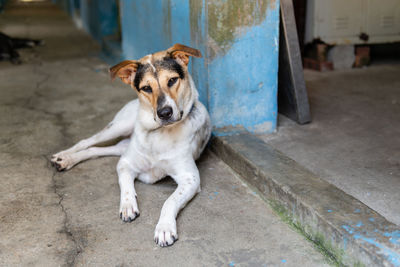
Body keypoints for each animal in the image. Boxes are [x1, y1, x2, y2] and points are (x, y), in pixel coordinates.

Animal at [51, 43, 211, 247]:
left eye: (173, 80)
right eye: (146, 88)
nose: (164, 113)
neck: (157, 134)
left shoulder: (190, 178)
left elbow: (170, 201)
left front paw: (164, 228)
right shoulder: (125, 163)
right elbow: (125, 186)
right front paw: (128, 206)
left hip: (122, 144)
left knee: (95, 149)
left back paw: (66, 160)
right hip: (119, 126)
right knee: (87, 141)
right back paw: (64, 156)